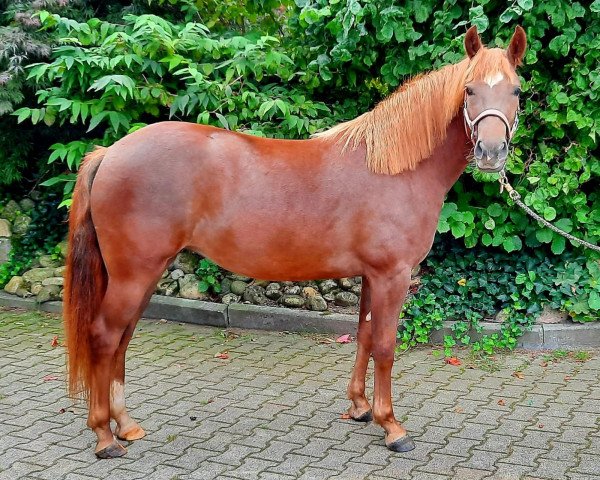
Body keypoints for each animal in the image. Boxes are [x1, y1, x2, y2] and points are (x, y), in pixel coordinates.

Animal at [63, 25, 528, 458]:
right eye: (469, 89)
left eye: (517, 90)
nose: (490, 153)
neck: (394, 169)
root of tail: (110, 153)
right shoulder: (392, 275)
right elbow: (385, 345)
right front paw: (392, 427)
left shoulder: (370, 275)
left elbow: (363, 335)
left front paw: (360, 408)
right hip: (133, 275)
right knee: (104, 336)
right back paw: (104, 436)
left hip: (146, 274)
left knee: (122, 339)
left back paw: (126, 425)